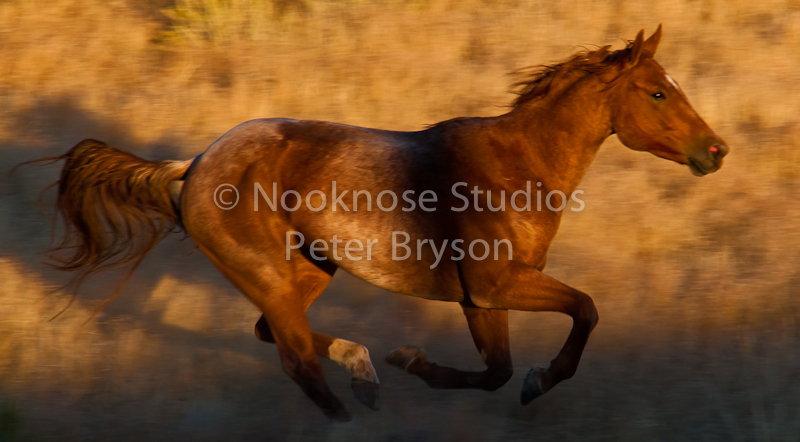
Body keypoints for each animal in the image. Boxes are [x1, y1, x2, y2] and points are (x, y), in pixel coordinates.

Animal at [30, 25, 728, 421]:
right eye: (658, 91)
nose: (716, 151)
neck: (516, 167)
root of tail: (195, 165)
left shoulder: (481, 298)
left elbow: (498, 371)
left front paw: (412, 360)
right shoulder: (497, 285)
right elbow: (584, 311)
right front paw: (538, 380)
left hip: (310, 269)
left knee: (274, 335)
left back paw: (364, 371)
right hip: (269, 273)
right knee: (292, 357)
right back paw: (350, 407)